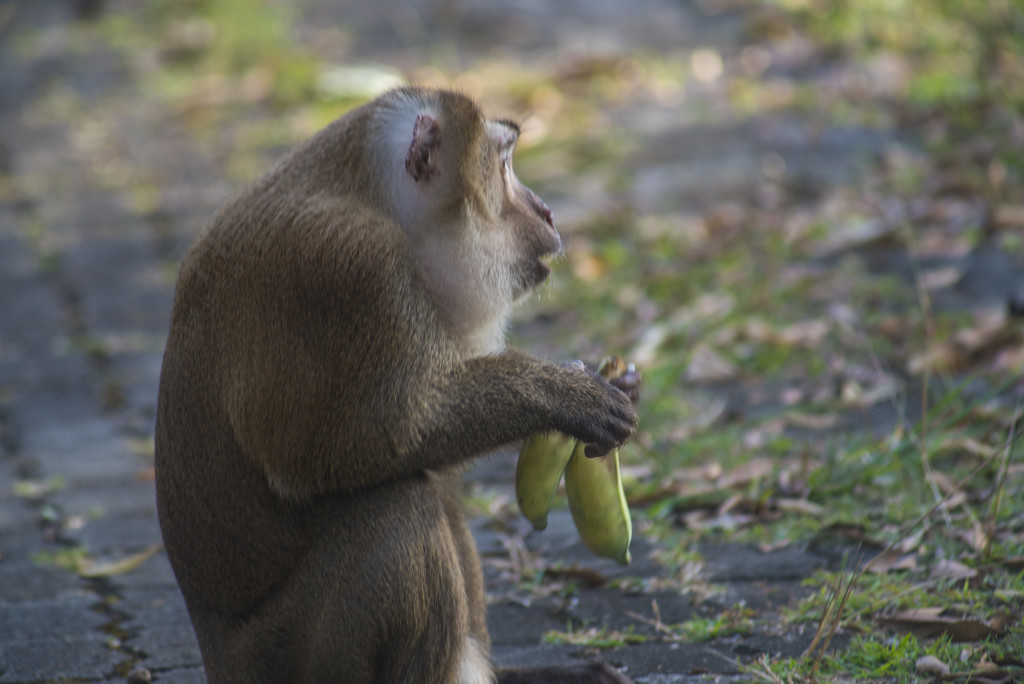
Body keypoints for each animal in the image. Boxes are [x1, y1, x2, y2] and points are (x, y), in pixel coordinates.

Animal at [154, 88, 634, 679]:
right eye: (503, 166)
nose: (546, 209)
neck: (375, 200)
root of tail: (217, 663)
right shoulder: (357, 272)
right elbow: (360, 445)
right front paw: (567, 394)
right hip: (285, 656)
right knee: (400, 513)